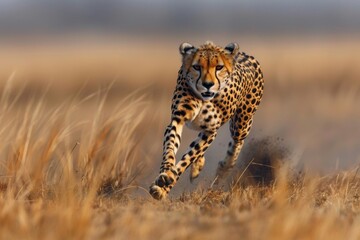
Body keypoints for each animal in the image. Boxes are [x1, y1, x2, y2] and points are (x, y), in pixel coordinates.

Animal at [149, 41, 264, 201]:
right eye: (197, 67)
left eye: (219, 67)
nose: (208, 84)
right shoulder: (177, 120)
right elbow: (170, 148)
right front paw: (165, 174)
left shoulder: (211, 130)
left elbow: (188, 157)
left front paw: (166, 184)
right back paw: (198, 166)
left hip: (241, 124)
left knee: (237, 142)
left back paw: (224, 167)